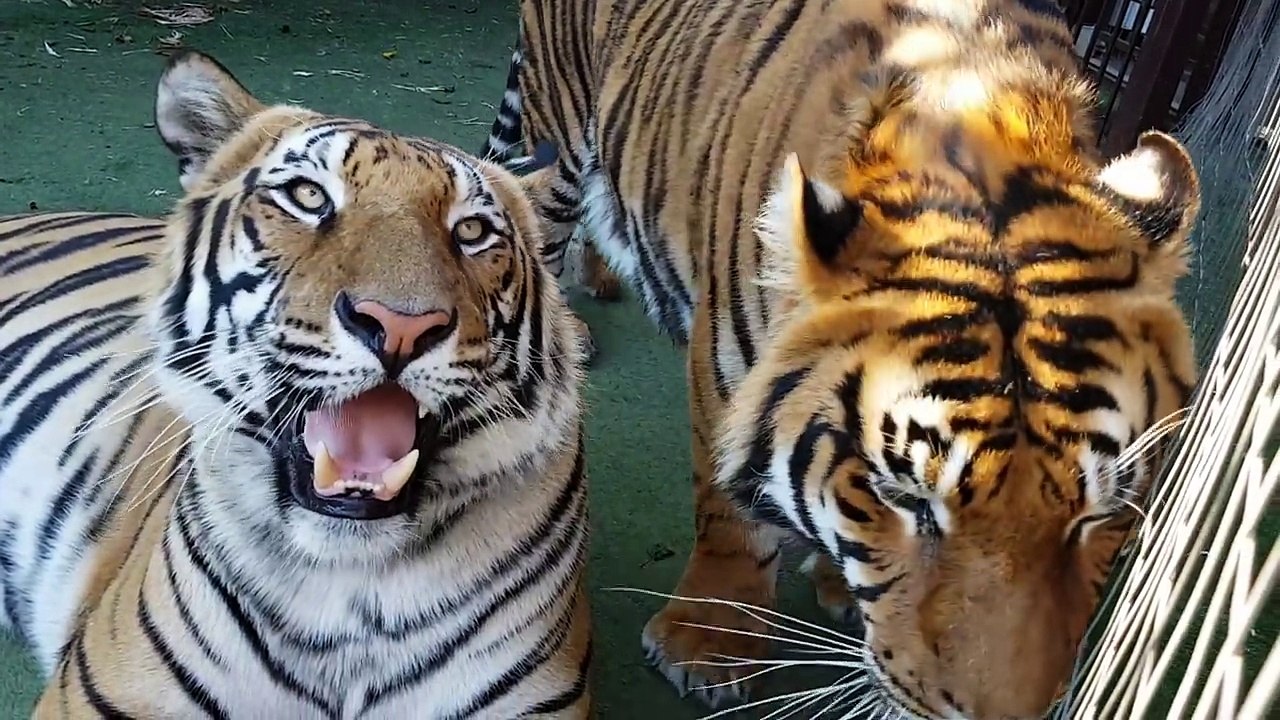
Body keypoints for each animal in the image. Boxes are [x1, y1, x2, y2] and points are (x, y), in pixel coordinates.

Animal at [484, 0, 1201, 717]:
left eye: (1104, 511)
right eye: (906, 497)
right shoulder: (726, 371)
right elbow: (731, 508)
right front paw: (710, 645)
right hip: (559, 130)